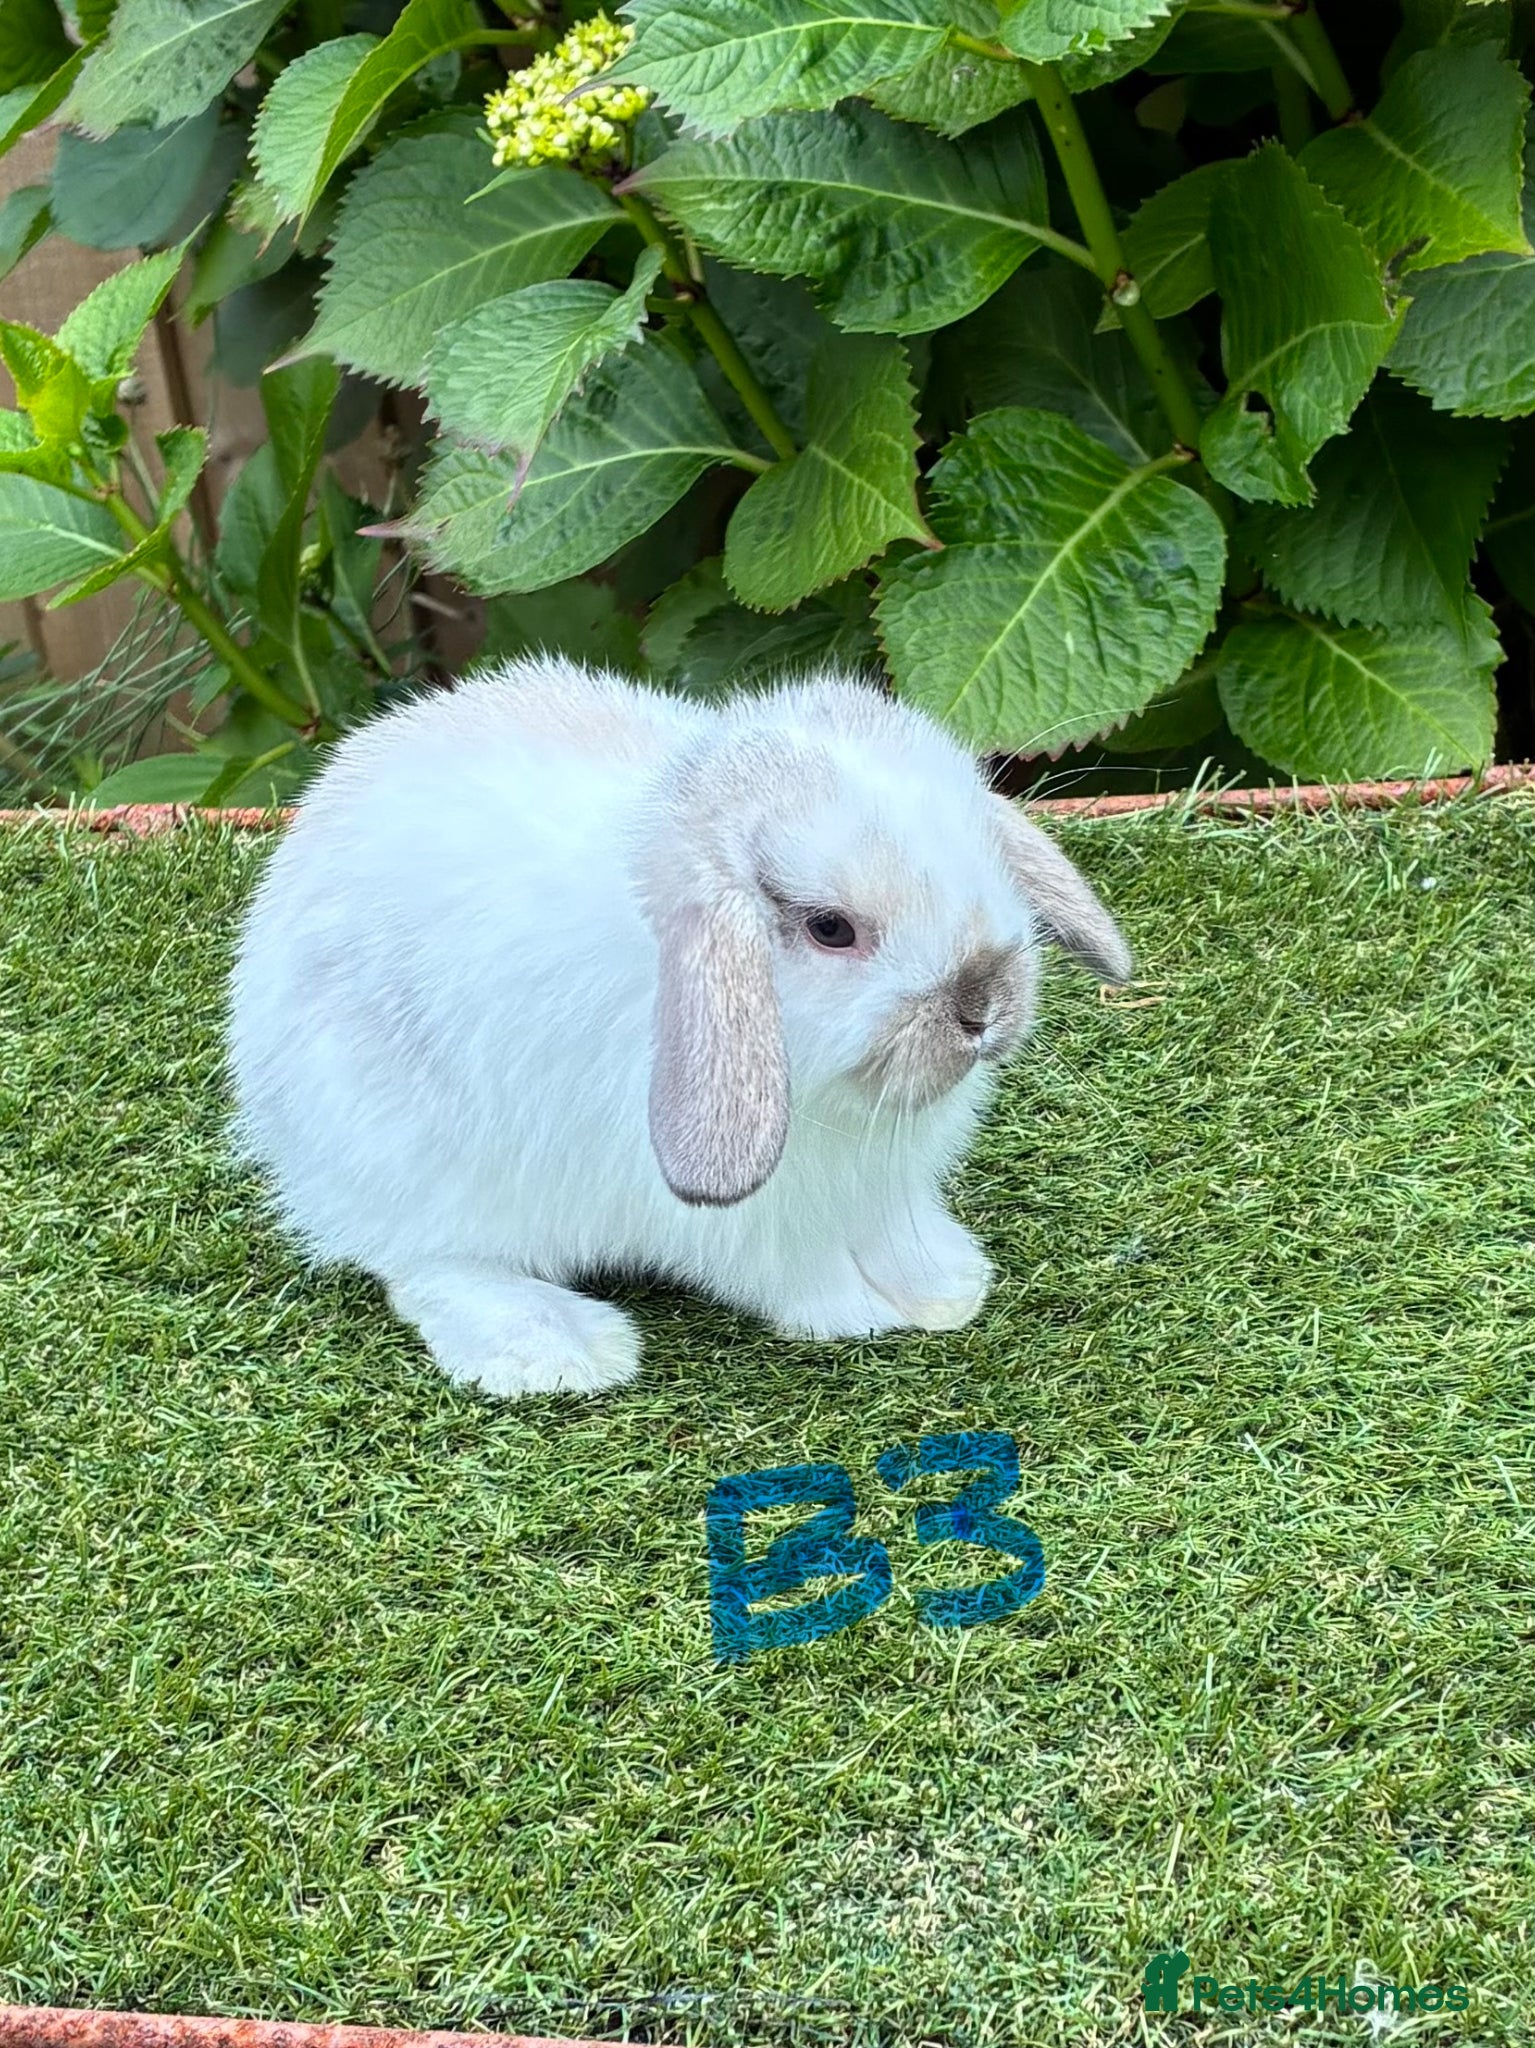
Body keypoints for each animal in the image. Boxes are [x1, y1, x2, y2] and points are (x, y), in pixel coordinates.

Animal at [226, 657, 1131, 1400]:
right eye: (830, 929)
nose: (983, 1006)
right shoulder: (744, 1218)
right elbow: (795, 1270)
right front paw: (852, 1315)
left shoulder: (877, 1192)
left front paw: (945, 1287)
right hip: (415, 1170)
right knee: (426, 1264)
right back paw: (560, 1351)